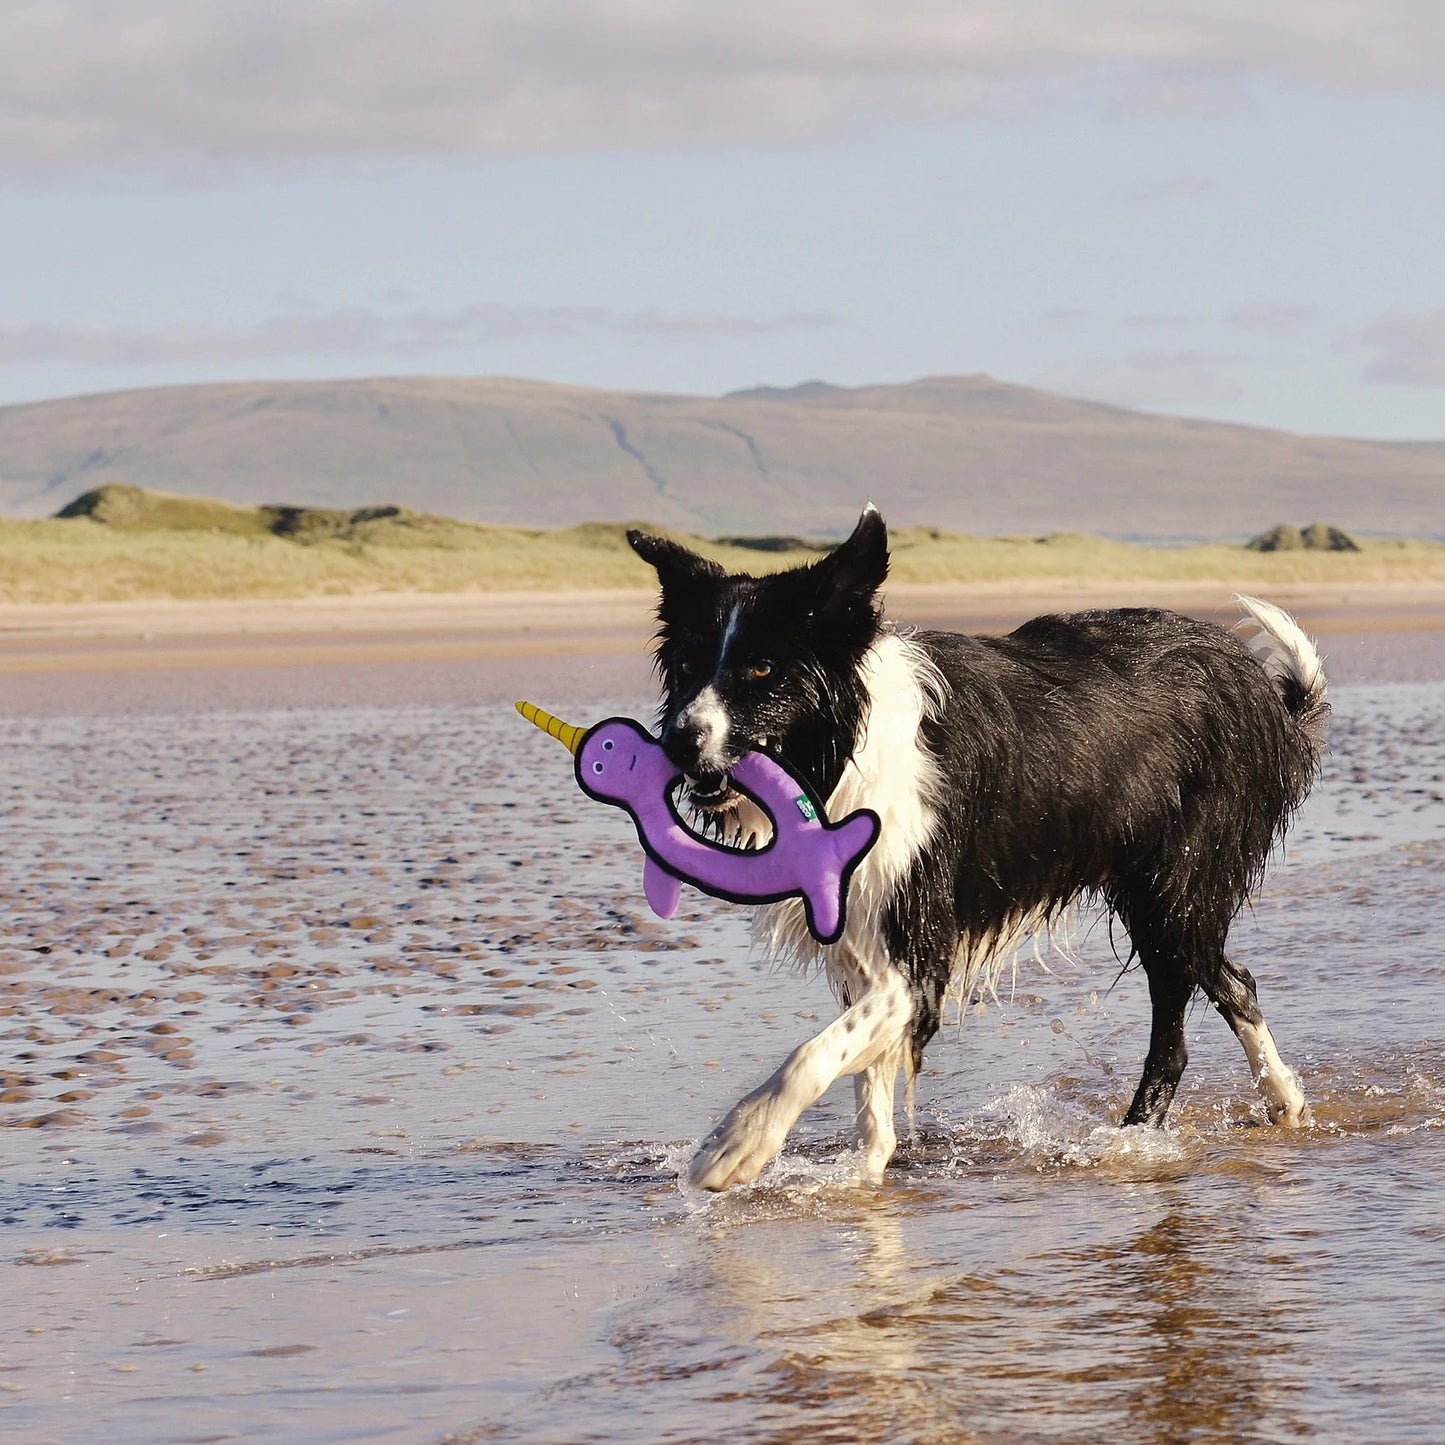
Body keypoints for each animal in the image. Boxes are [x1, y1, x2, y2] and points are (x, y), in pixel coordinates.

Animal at [627, 505, 1323, 1184]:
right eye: (686, 666)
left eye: (762, 668)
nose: (677, 743)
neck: (839, 757)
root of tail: (1267, 691)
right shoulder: (864, 937)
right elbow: (869, 1093)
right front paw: (865, 1178)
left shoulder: (918, 946)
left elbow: (815, 1052)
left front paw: (736, 1144)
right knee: (1233, 980)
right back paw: (1283, 1102)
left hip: (1175, 889)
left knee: (1183, 1027)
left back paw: (1135, 1141)